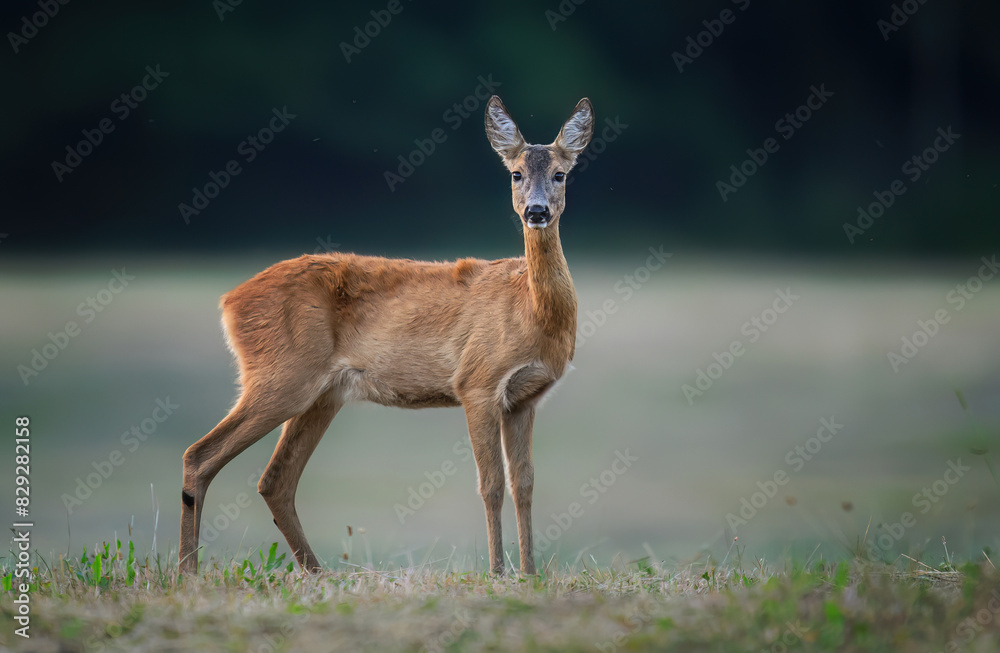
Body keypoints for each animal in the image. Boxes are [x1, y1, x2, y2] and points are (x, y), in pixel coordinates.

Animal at [179, 95, 594, 576]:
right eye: (516, 173)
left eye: (561, 173)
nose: (537, 211)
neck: (529, 308)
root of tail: (229, 300)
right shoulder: (477, 381)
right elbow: (490, 484)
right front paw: (496, 572)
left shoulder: (525, 397)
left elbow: (523, 483)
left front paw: (529, 573)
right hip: (280, 374)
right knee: (200, 455)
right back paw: (188, 570)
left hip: (323, 394)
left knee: (274, 480)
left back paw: (317, 573)